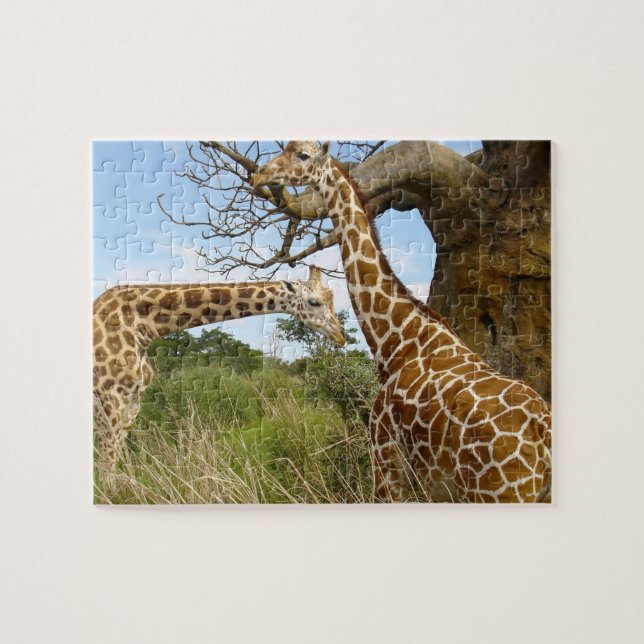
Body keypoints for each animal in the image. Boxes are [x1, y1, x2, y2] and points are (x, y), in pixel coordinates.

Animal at [93, 266, 345, 469]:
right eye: (314, 302)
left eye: (332, 299)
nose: (341, 337)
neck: (142, 326)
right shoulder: (110, 397)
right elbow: (107, 461)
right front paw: (113, 493)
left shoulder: (134, 399)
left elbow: (118, 456)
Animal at [251, 141, 552, 503]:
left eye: (303, 155)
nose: (259, 175)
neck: (397, 338)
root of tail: (544, 437)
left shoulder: (386, 462)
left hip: (496, 492)